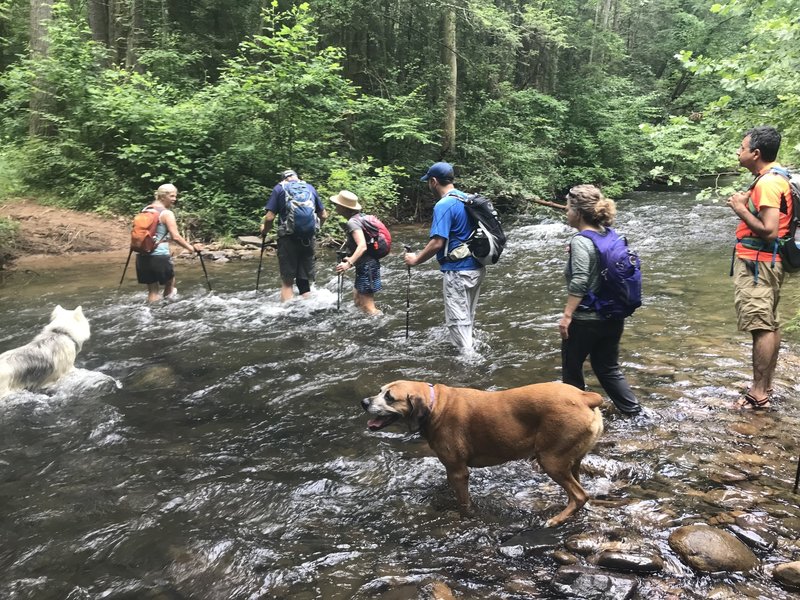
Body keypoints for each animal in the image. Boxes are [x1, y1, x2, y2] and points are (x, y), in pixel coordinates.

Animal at [360, 380, 604, 524]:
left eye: (389, 397)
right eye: (380, 391)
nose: (363, 402)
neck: (434, 405)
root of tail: (585, 397)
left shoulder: (458, 472)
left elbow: (464, 502)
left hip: (551, 461)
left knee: (579, 495)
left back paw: (556, 519)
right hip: (571, 460)